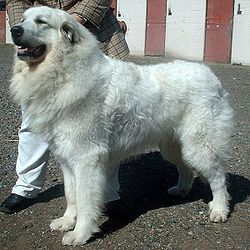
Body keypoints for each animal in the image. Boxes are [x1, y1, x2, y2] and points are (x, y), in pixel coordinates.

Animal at [9, 5, 234, 246]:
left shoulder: (86, 159)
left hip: (199, 145)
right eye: (23, 19)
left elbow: (84, 199)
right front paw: (67, 221)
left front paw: (80, 233)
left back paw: (219, 209)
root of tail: (210, 75)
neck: (64, 70)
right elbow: (71, 195)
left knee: (218, 177)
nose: (14, 30)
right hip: (173, 146)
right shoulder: (67, 158)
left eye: (41, 21)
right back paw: (181, 189)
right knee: (186, 168)